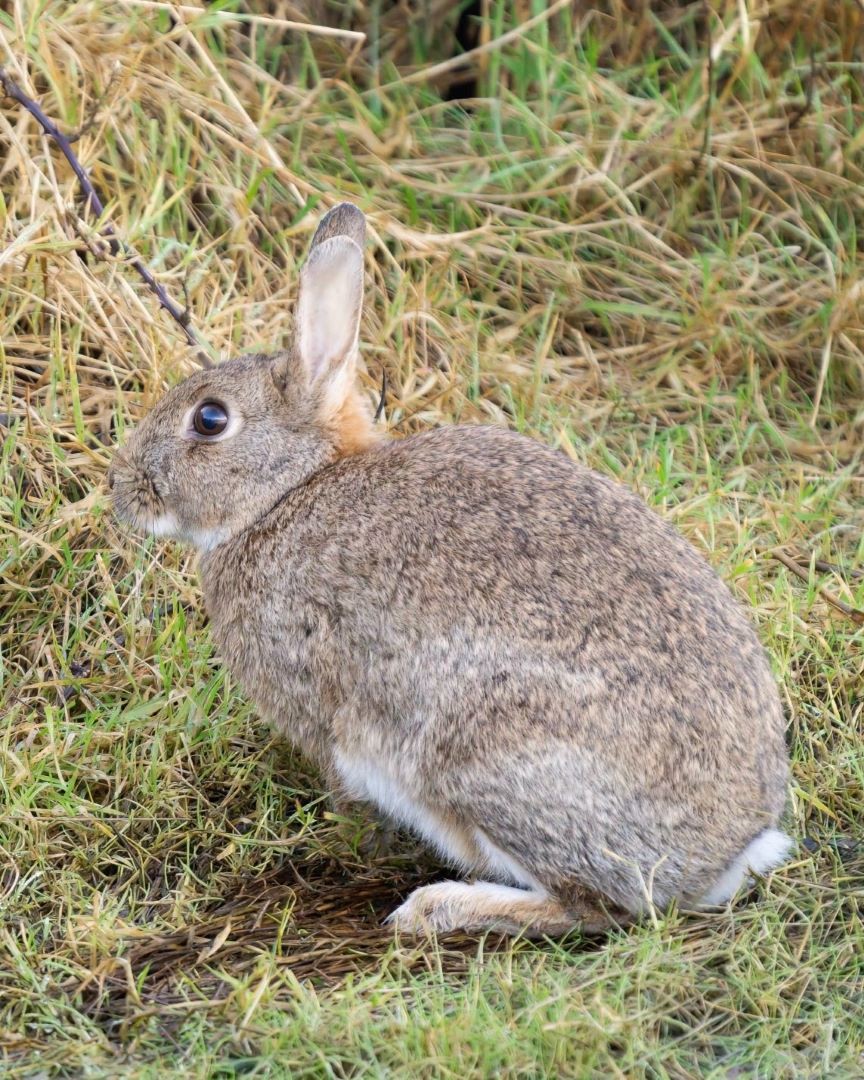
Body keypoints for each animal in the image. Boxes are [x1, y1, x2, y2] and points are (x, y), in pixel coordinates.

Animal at [111, 203, 794, 937]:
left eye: (210, 419)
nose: (121, 488)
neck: (289, 491)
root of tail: (723, 858)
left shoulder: (322, 710)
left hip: (480, 762)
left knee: (594, 908)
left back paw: (438, 906)